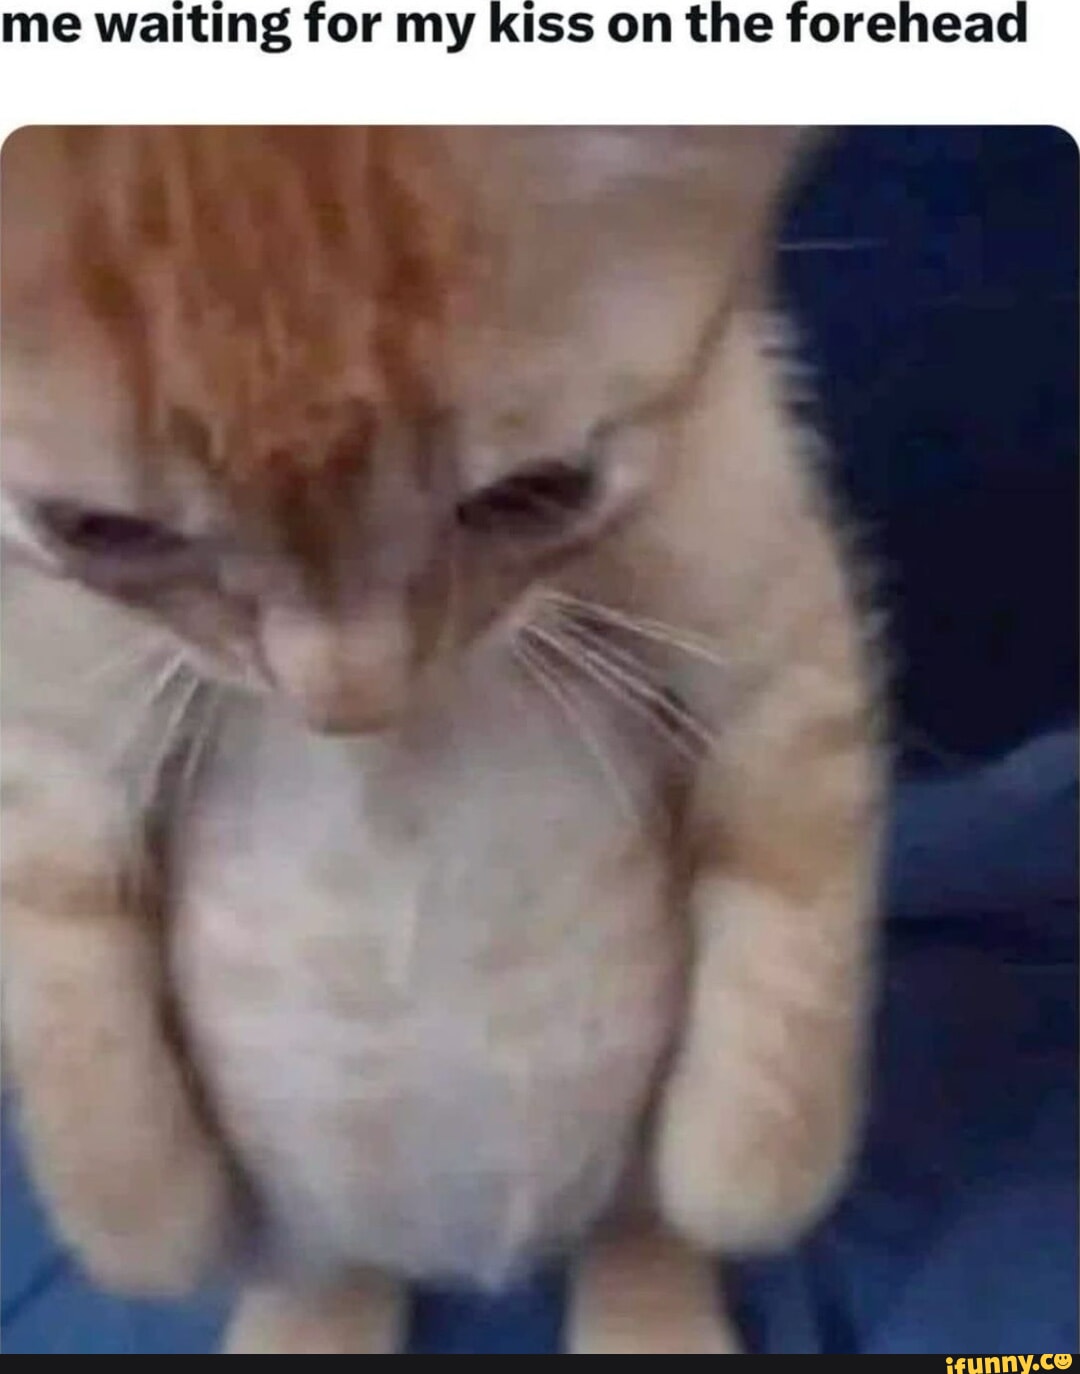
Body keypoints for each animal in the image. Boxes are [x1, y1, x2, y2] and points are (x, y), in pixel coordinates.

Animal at [0, 127, 884, 1354]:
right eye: (101, 532)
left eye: (540, 494)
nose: (348, 699)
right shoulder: (49, 723)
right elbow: (62, 980)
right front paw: (147, 1221)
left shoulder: (774, 628)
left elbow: (794, 918)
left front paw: (748, 1173)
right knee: (327, 1258)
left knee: (632, 1223)